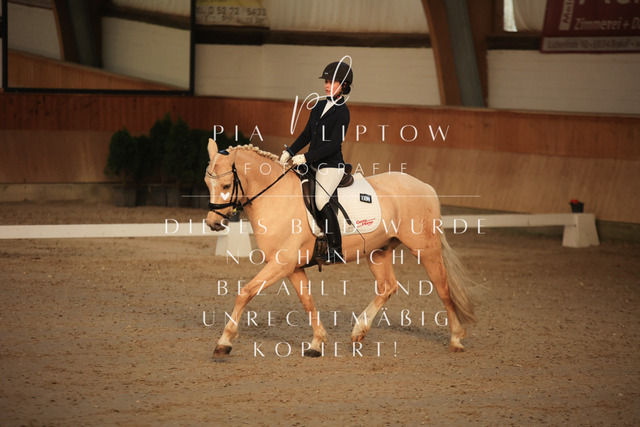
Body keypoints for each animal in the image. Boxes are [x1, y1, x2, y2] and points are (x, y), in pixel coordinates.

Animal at [204, 139, 477, 357]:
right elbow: (307, 301)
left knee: (443, 289)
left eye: (226, 186)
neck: (276, 196)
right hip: (378, 251)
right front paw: (317, 343)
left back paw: (456, 339)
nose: (213, 223)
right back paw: (359, 332)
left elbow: (245, 292)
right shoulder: (291, 267)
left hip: (426, 250)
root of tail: (424, 186)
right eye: (207, 183)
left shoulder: (282, 263)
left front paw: (224, 342)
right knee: (387, 287)